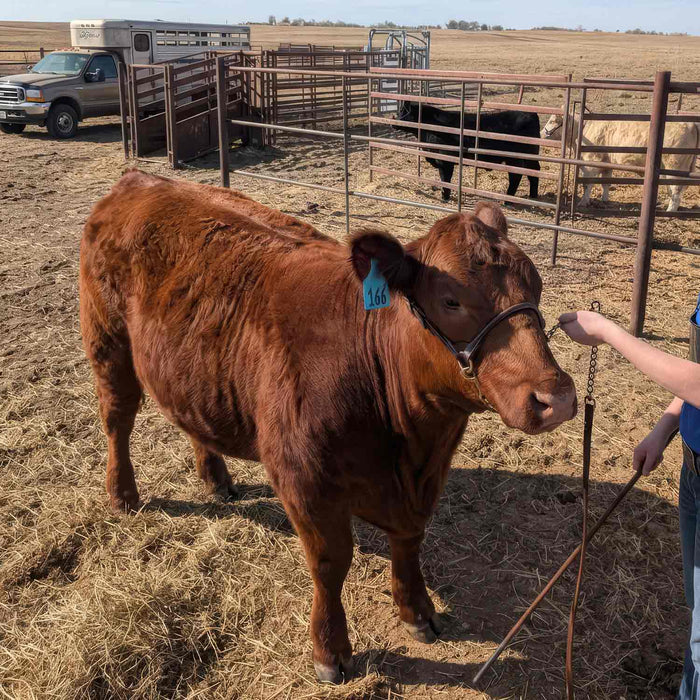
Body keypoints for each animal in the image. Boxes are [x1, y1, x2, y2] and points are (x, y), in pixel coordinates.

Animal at [80, 171, 577, 684]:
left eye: (536, 286)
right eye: (451, 300)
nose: (556, 398)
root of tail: (141, 179)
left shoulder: (424, 481)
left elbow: (410, 542)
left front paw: (417, 612)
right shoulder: (304, 479)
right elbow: (330, 563)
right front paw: (330, 650)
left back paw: (216, 480)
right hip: (108, 342)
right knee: (117, 419)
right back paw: (123, 495)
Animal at [393, 101, 541, 203]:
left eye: (402, 112)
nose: (392, 122)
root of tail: (531, 113)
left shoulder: (445, 160)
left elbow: (445, 179)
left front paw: (445, 197)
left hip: (515, 158)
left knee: (516, 176)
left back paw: (508, 200)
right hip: (531, 156)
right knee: (534, 172)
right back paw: (533, 195)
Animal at [541, 111, 699, 211]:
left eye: (552, 121)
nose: (542, 133)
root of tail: (691, 124)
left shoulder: (590, 162)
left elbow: (587, 184)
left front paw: (583, 202)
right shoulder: (606, 163)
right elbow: (605, 183)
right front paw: (604, 200)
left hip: (675, 165)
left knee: (676, 189)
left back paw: (669, 210)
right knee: (674, 188)